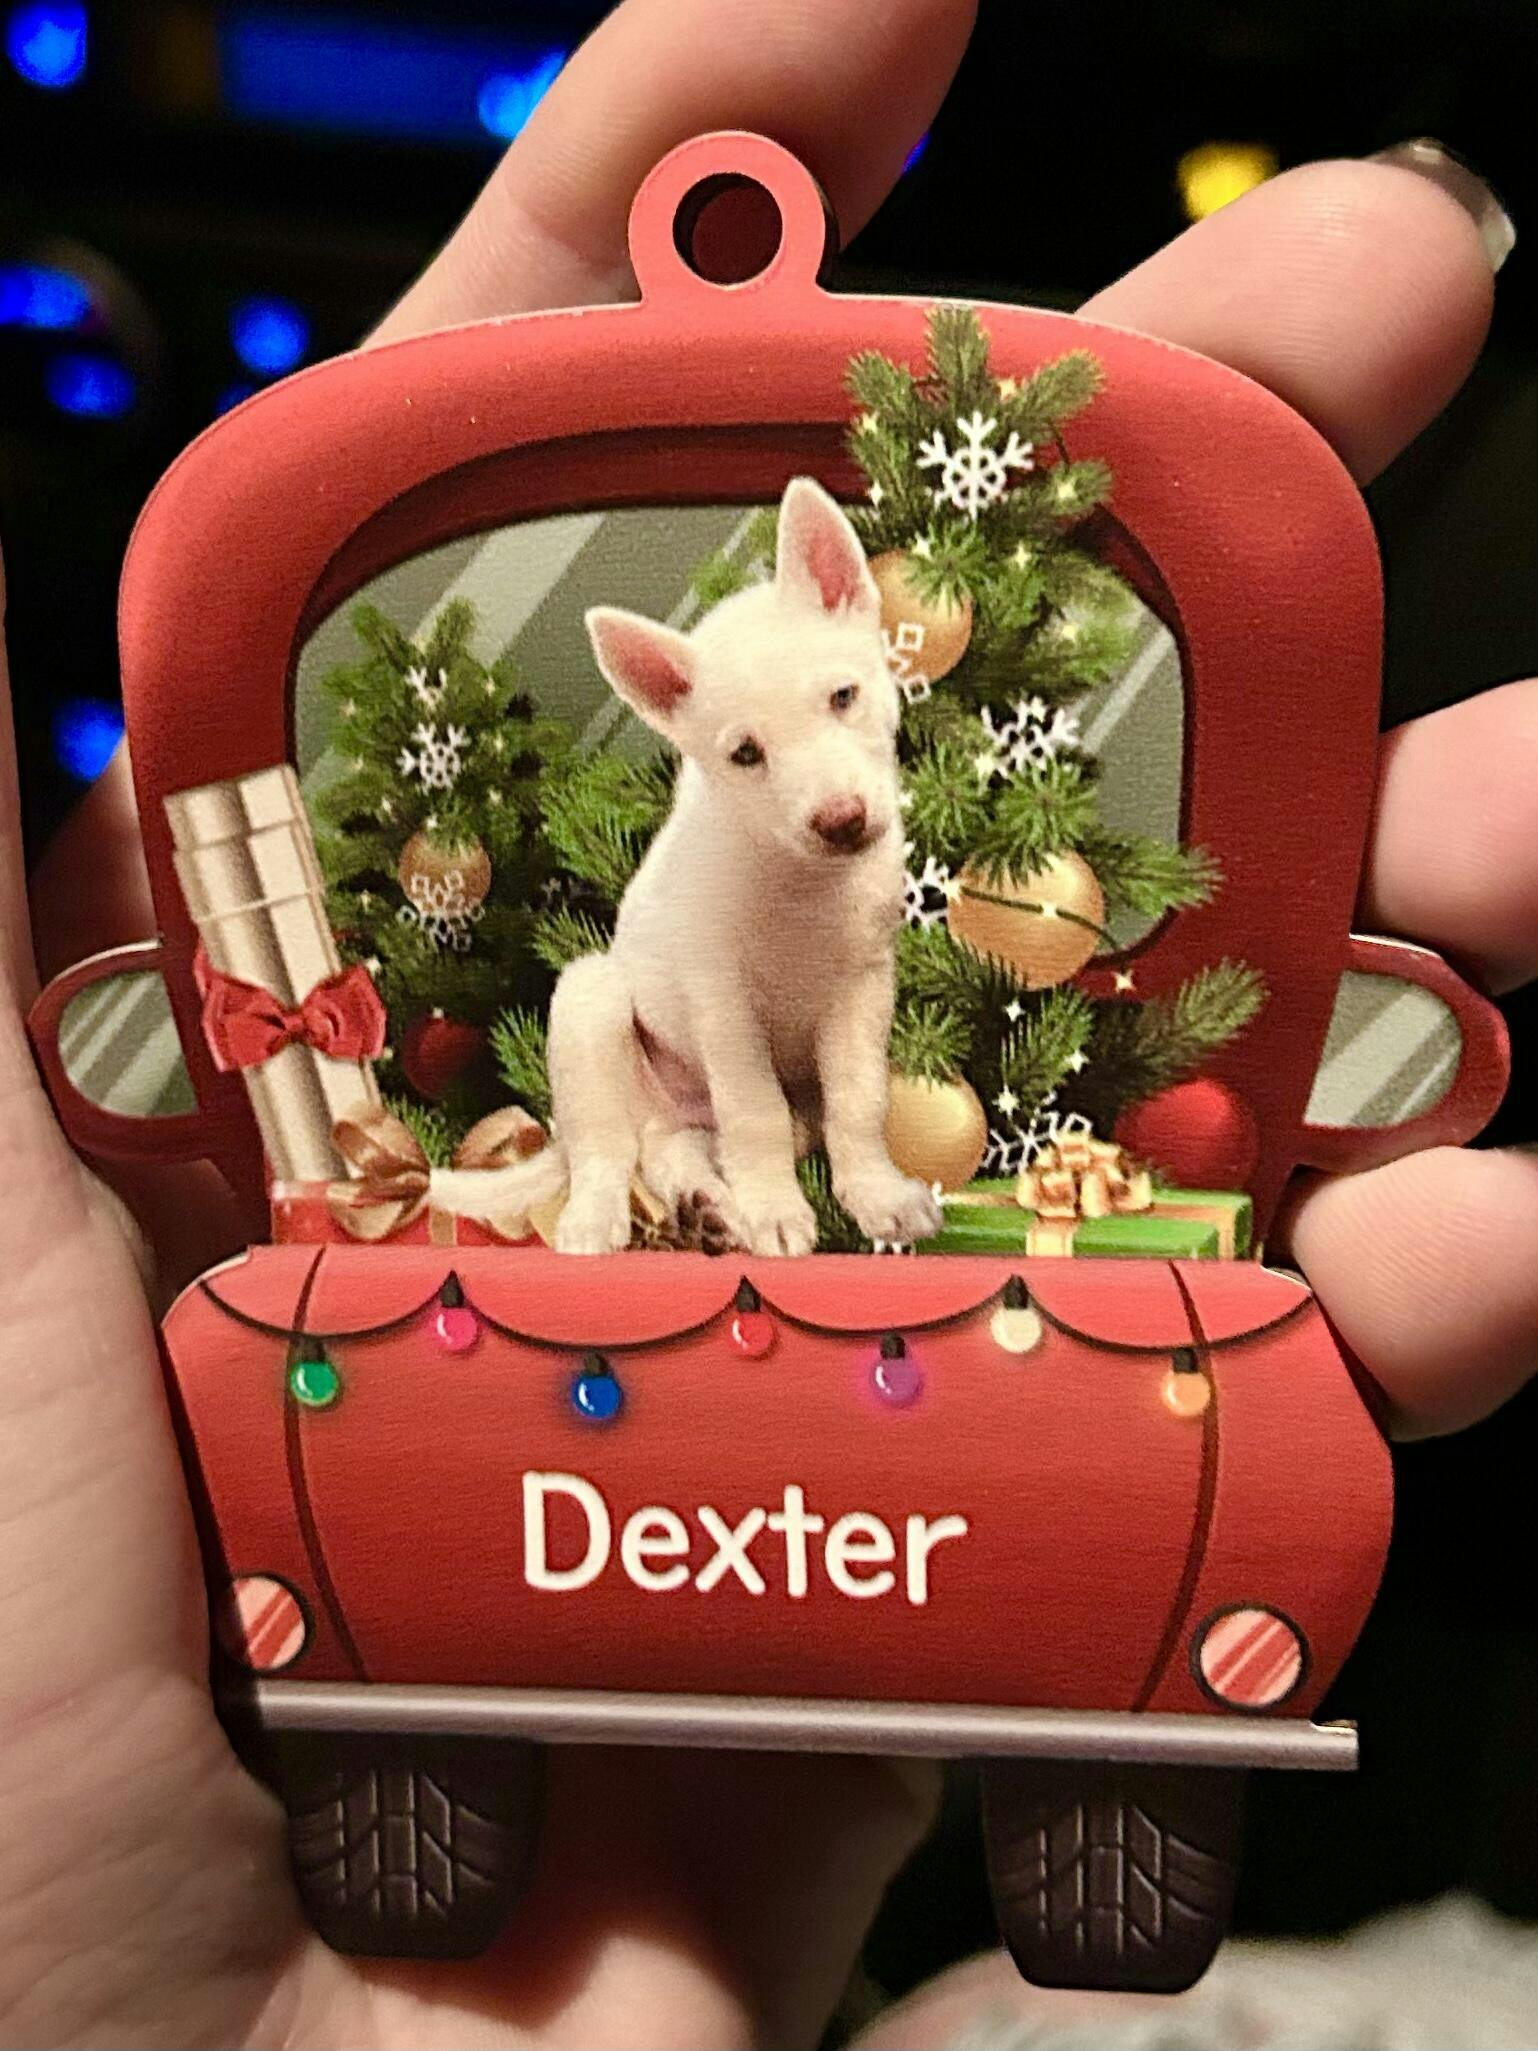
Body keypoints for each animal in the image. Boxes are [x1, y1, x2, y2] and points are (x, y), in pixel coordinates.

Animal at [440, 476, 943, 1257]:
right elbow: (754, 1113)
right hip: (592, 1001)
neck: (800, 883)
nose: (842, 821)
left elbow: (860, 1101)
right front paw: (777, 1212)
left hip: (705, 1110)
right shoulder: (723, 1003)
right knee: (611, 1151)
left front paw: (877, 1195)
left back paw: (712, 1208)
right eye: (746, 753)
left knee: (675, 1147)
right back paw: (604, 1219)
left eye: (843, 696)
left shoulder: (863, 984)